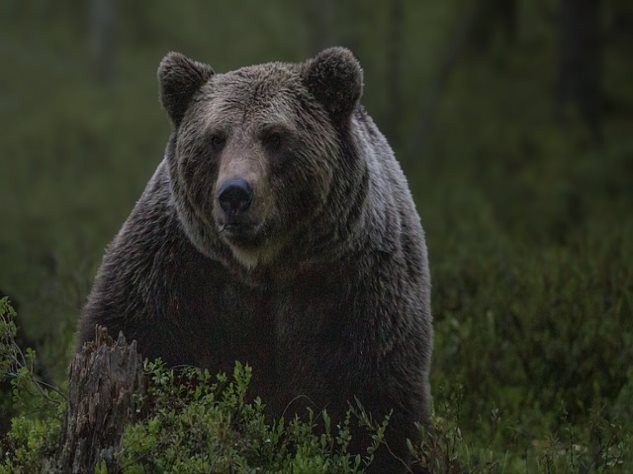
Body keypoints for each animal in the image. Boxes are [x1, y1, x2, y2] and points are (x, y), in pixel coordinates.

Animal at [79, 47, 432, 470]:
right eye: (216, 138)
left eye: (275, 137)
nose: (235, 194)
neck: (264, 266)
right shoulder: (174, 269)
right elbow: (136, 335)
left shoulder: (355, 285)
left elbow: (377, 400)